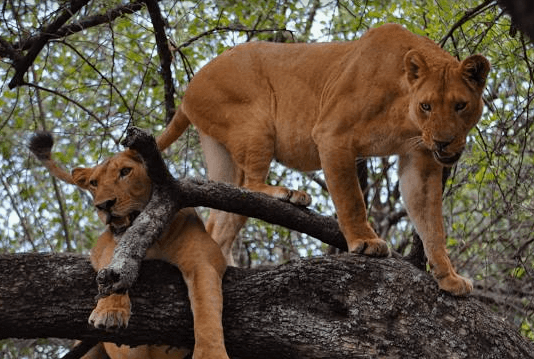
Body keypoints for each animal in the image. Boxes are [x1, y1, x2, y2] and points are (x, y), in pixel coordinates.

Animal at [29, 133, 230, 359]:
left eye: (125, 171)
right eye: (94, 183)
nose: (103, 205)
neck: (154, 240)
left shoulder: (204, 260)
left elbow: (206, 308)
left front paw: (212, 354)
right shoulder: (104, 246)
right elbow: (114, 270)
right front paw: (110, 312)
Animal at [157, 23, 492, 296]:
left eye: (460, 105)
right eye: (426, 106)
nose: (443, 141)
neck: (405, 111)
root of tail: (188, 90)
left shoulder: (420, 159)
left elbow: (432, 224)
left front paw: (448, 277)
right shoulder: (333, 134)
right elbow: (351, 198)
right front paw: (365, 242)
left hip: (225, 155)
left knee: (223, 214)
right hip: (255, 121)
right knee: (252, 184)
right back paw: (288, 194)